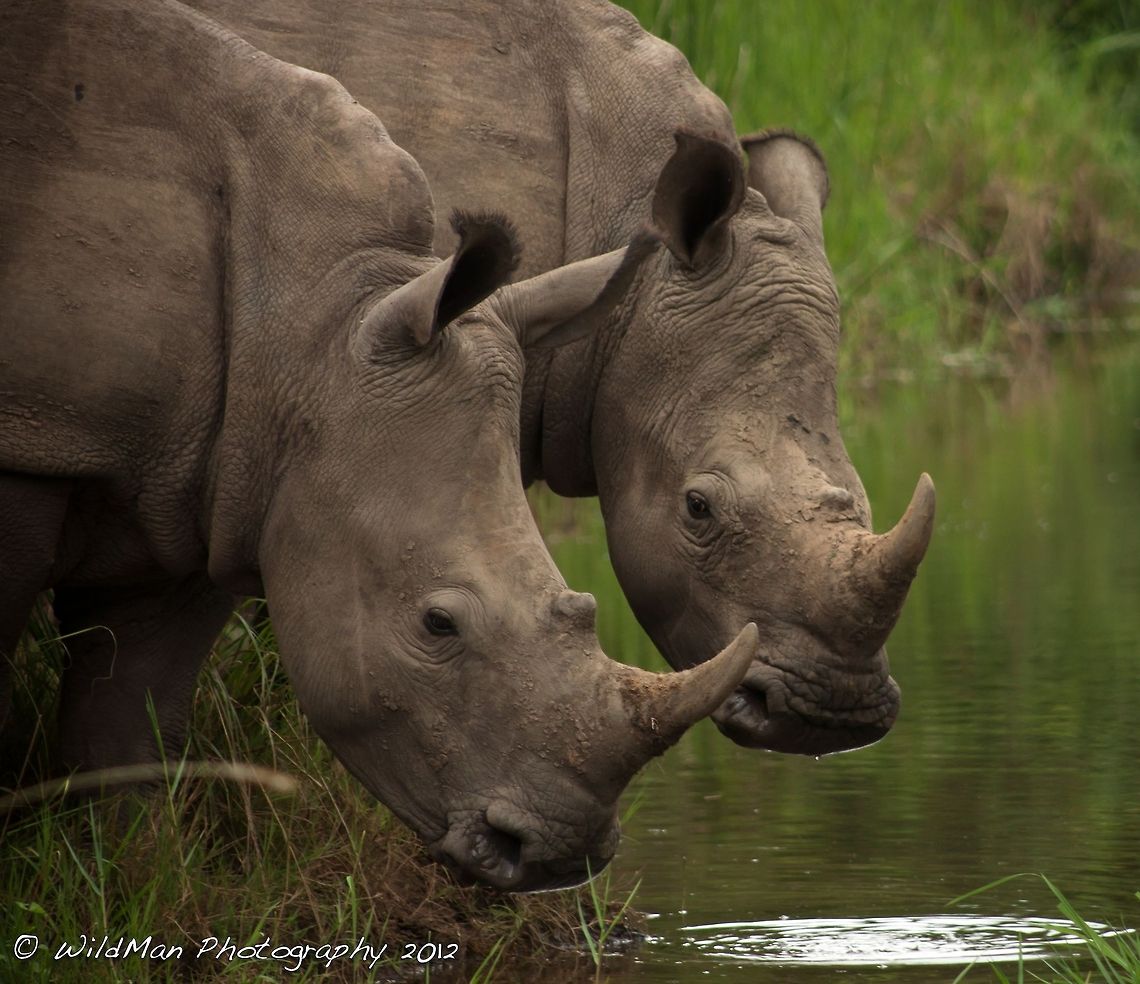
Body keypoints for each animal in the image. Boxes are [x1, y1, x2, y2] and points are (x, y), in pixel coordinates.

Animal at [0, 0, 760, 891]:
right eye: (436, 625)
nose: (554, 853)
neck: (309, 328)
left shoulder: (215, 481)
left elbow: (128, 738)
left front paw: (134, 879)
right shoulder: (35, 437)